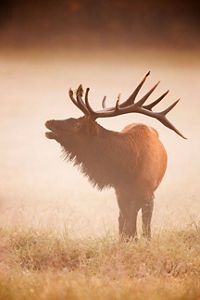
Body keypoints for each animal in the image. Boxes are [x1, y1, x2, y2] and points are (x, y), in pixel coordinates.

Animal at [45, 72, 186, 239]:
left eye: (77, 124)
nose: (49, 121)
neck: (129, 168)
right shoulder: (120, 191)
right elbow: (126, 224)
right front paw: (126, 239)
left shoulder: (148, 193)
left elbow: (145, 228)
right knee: (122, 218)